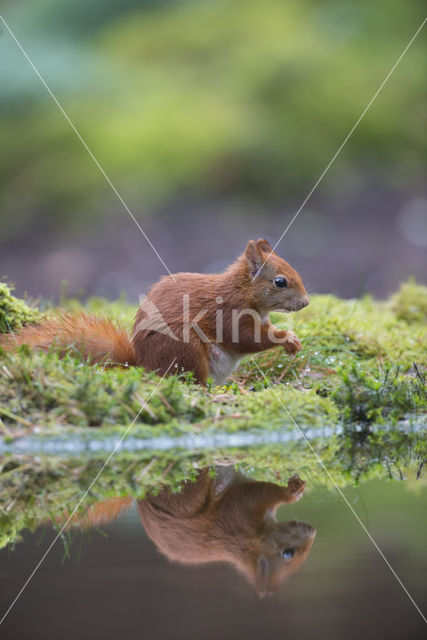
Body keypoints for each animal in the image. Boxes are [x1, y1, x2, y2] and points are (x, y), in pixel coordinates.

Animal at [0, 239, 308, 380]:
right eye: (280, 281)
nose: (306, 302)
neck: (244, 292)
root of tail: (144, 365)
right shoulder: (228, 311)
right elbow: (246, 339)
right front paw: (285, 338)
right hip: (186, 350)